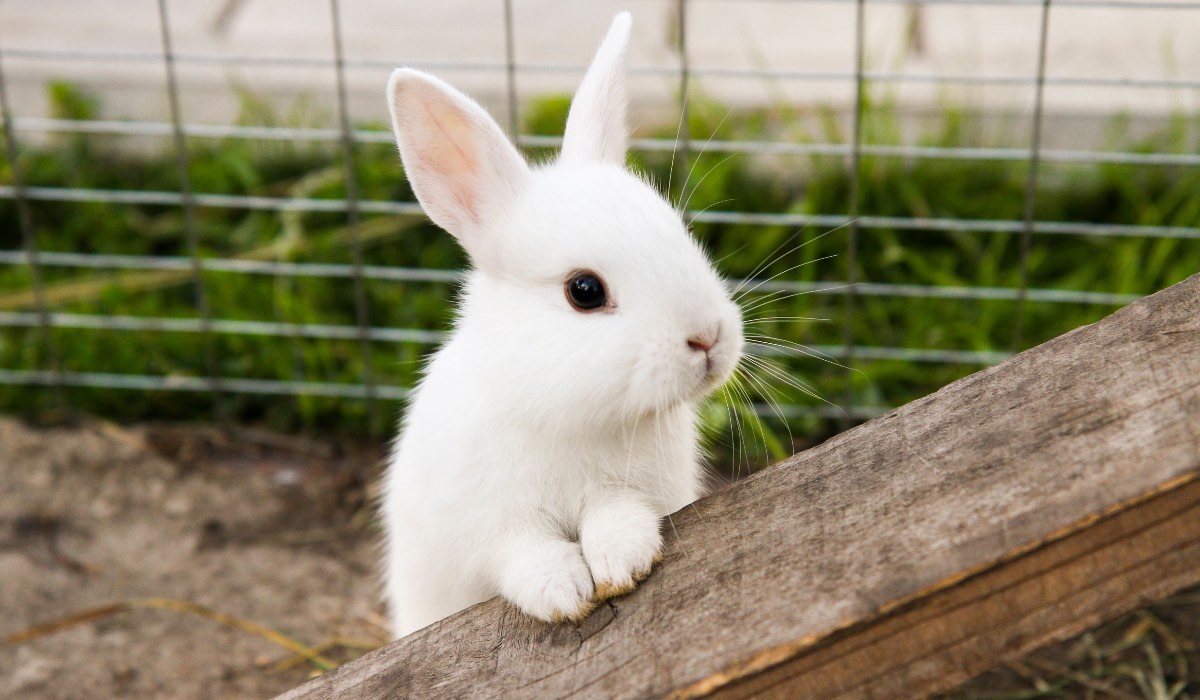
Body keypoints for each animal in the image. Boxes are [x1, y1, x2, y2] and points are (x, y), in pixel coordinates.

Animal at [384, 10, 739, 638]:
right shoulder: (486, 528)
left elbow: (617, 514)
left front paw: (622, 561)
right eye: (584, 291)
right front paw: (563, 591)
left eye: (681, 233)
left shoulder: (636, 489)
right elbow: (522, 552)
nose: (708, 339)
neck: (568, 415)